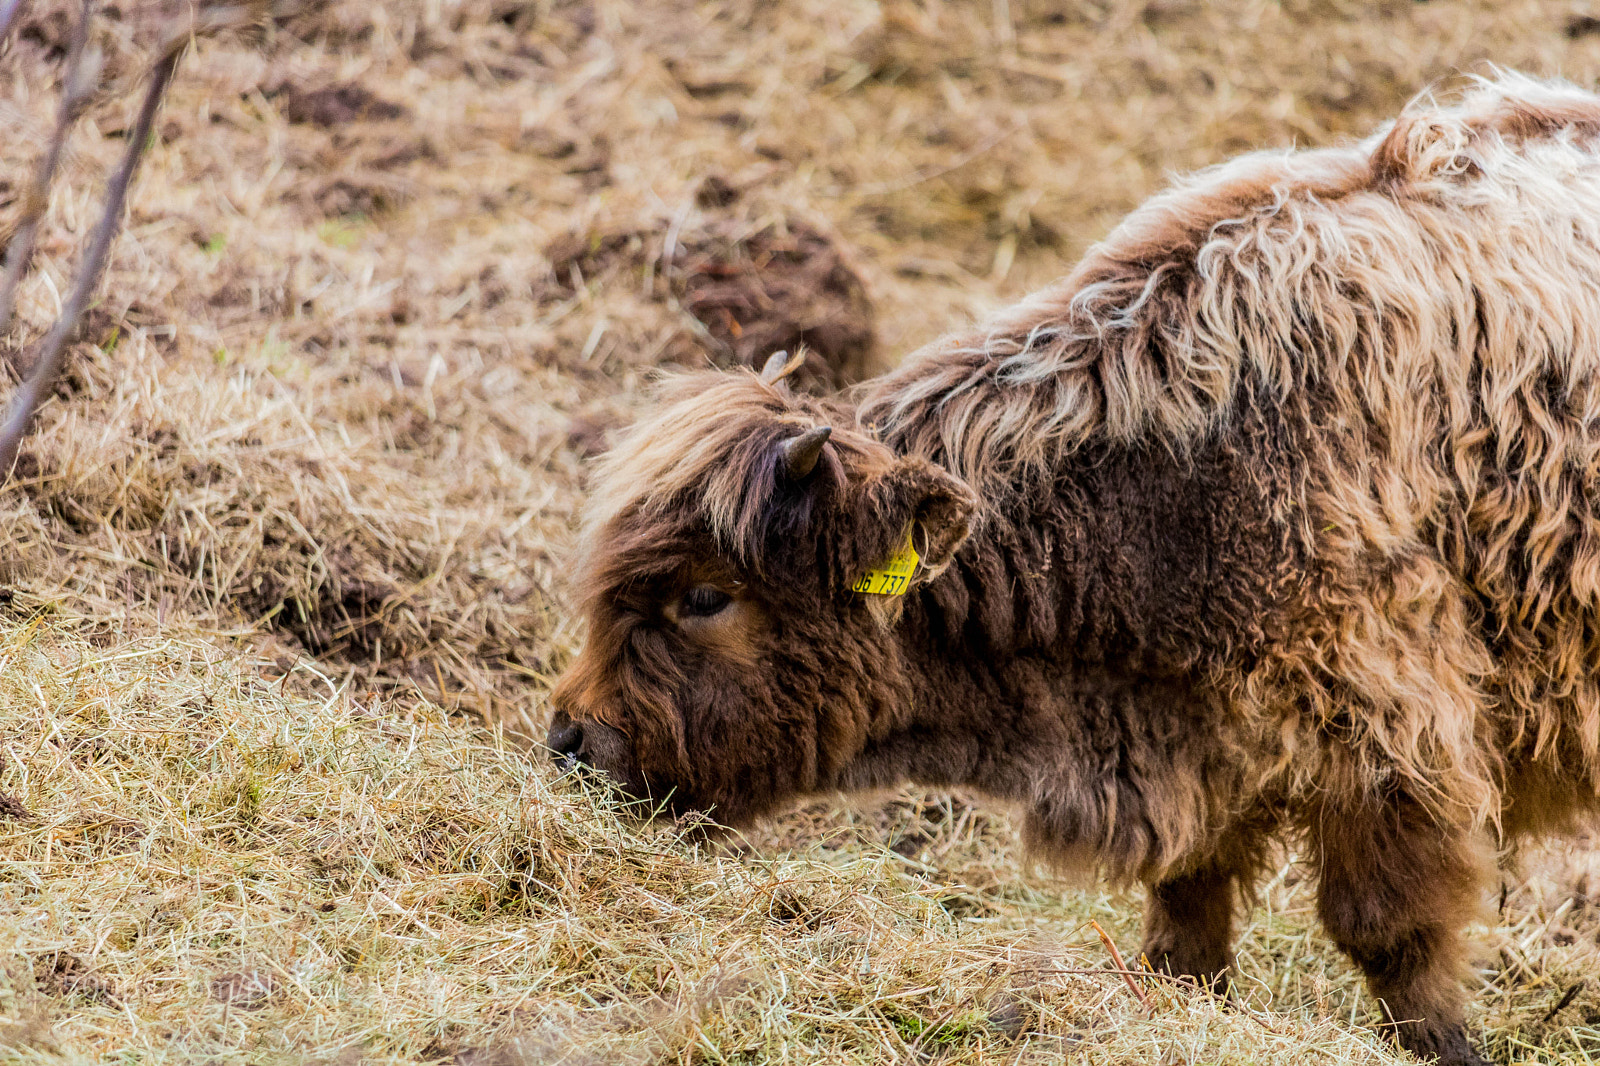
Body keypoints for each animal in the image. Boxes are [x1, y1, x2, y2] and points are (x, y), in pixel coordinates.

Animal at [547, 74, 1600, 1065]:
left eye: (705, 595)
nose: (572, 740)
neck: (1191, 465)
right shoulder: (1204, 761)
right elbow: (1185, 922)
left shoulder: (1393, 746)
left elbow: (1392, 937)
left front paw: (1449, 1046)